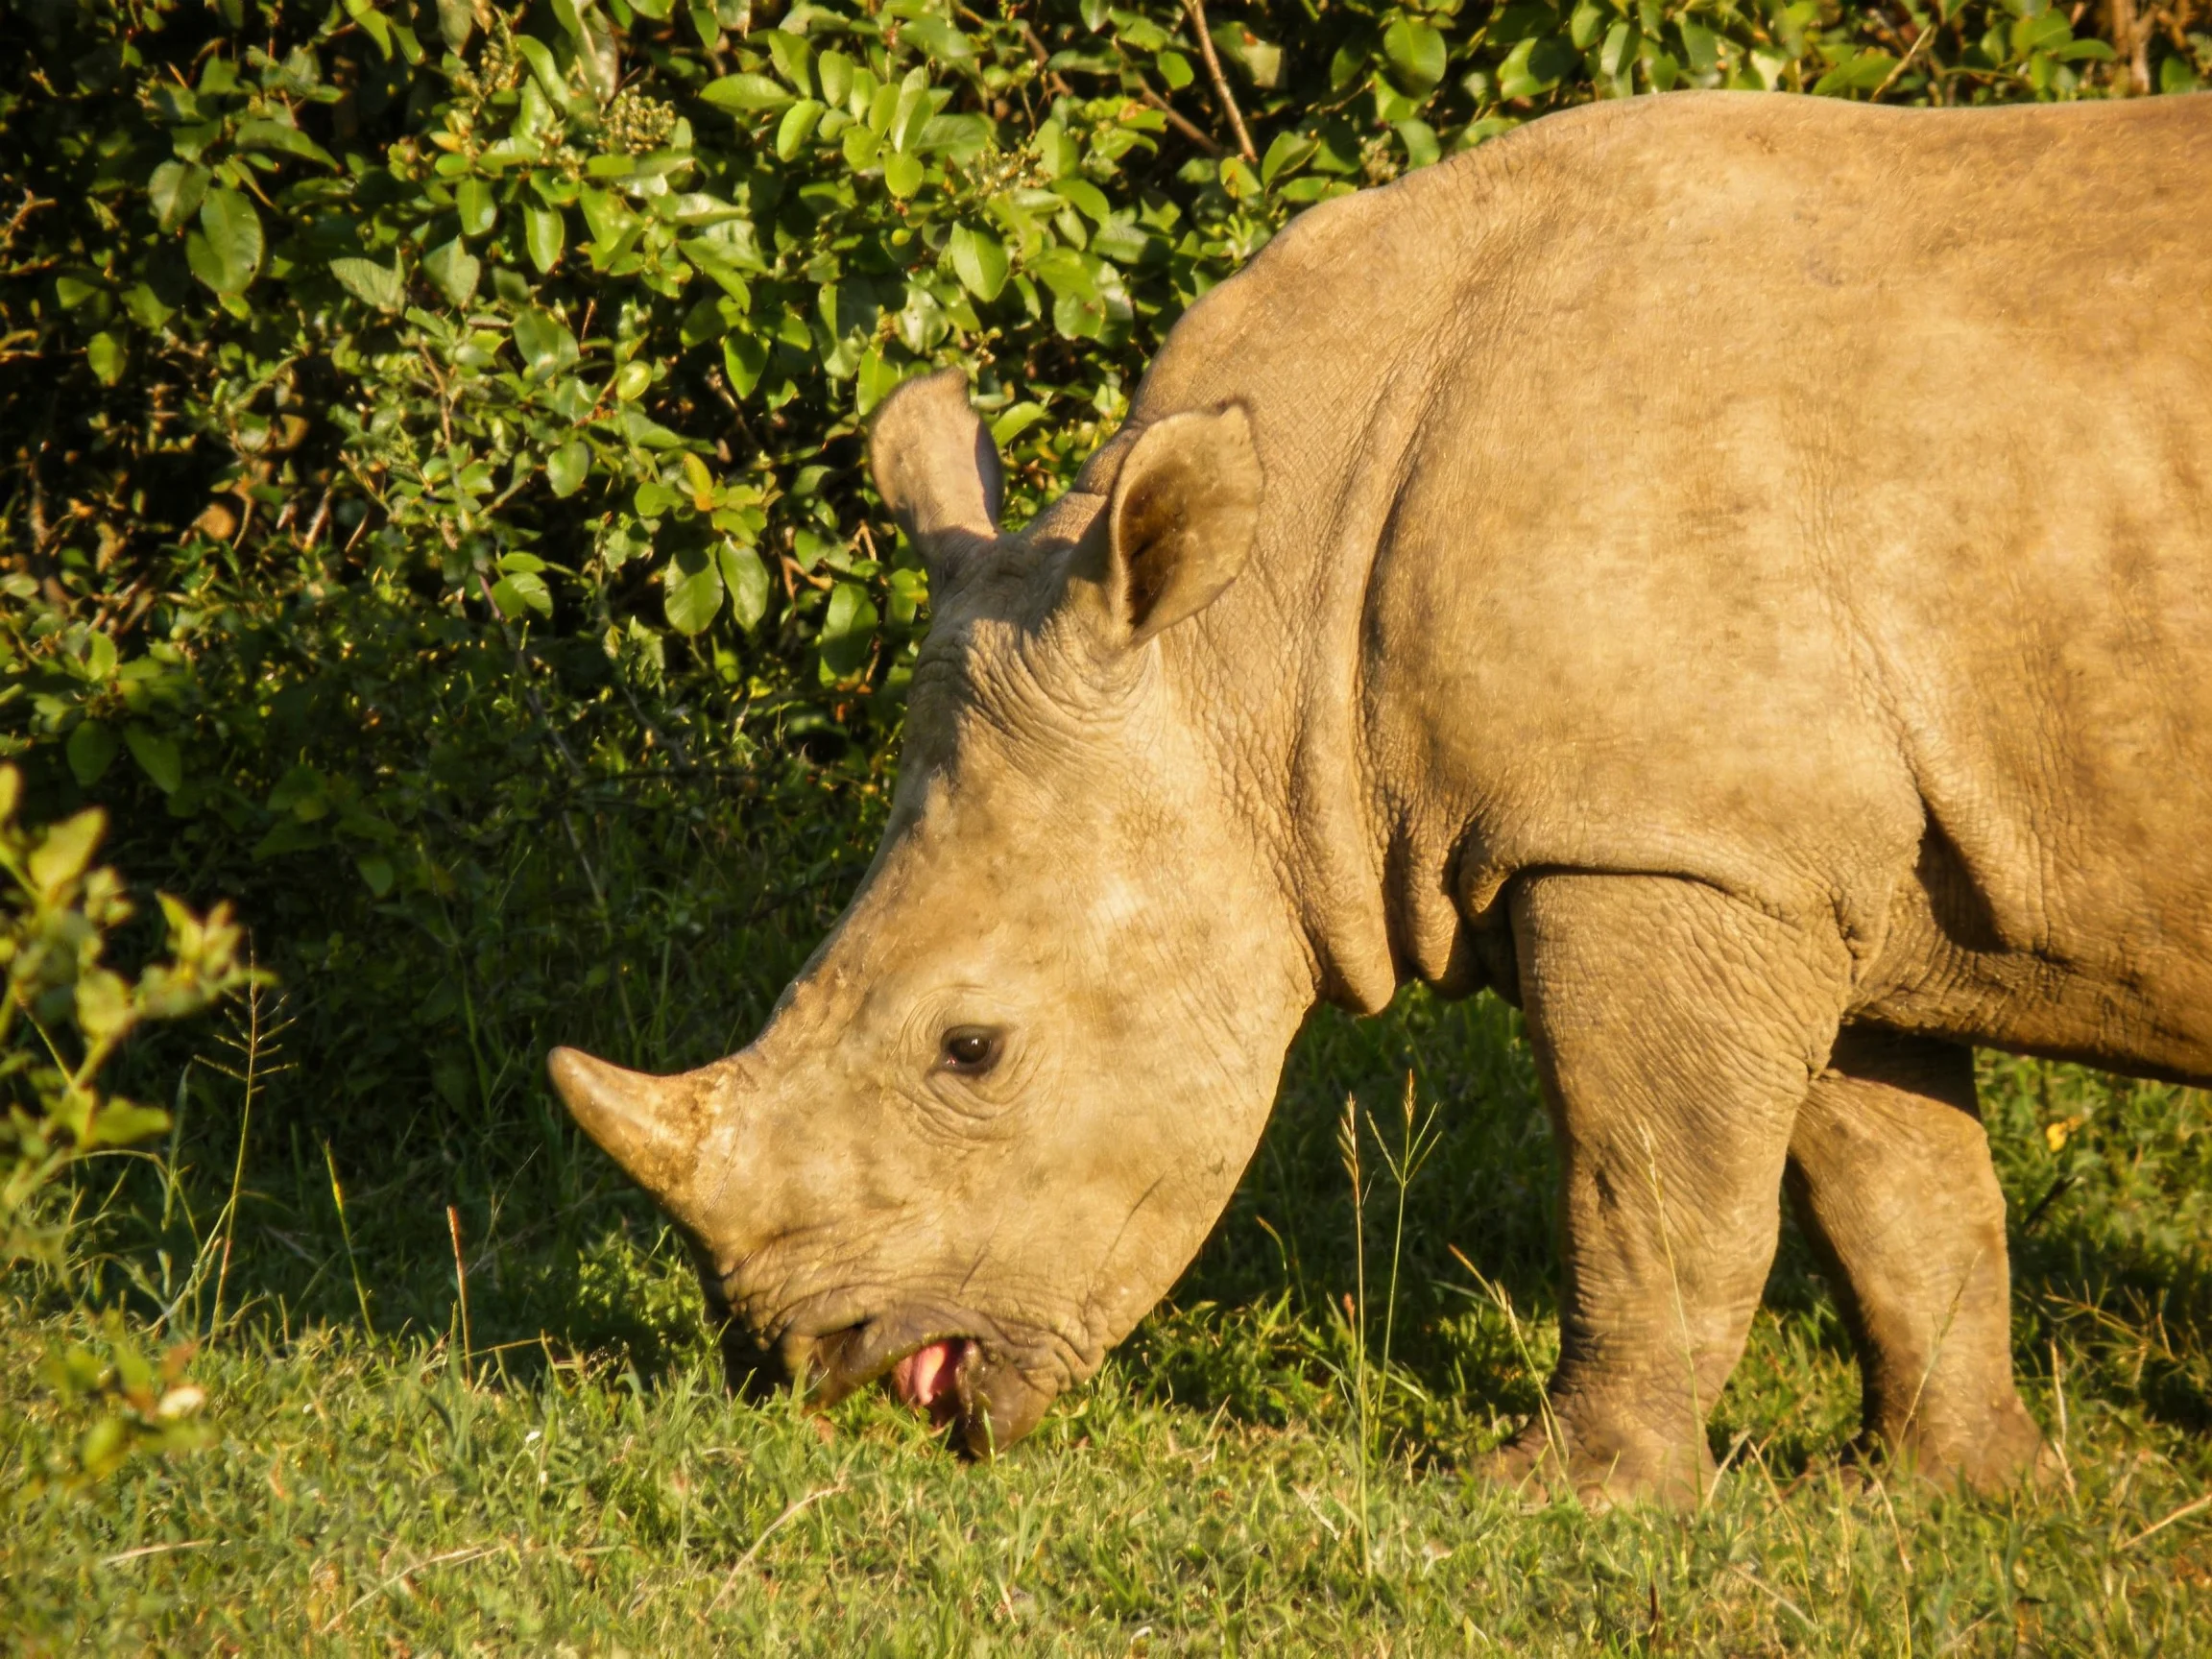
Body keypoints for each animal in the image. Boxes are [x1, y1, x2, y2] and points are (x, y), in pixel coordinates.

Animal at [549, 89, 2212, 1502]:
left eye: (973, 1051)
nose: (800, 1361)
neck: (1261, 633)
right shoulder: (1776, 840)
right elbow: (1897, 1188)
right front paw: (1959, 1495)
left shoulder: (1651, 845)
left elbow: (1651, 1189)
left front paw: (1569, 1502)